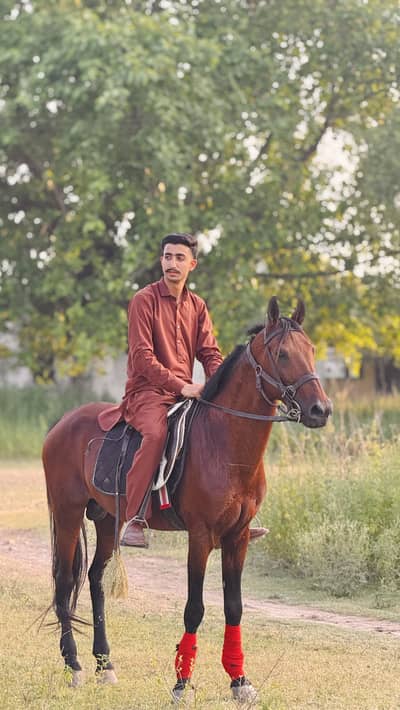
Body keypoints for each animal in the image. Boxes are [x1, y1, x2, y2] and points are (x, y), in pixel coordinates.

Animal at [42, 296, 332, 702]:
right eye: (283, 354)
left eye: (312, 350)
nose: (321, 410)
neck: (225, 445)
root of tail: (62, 424)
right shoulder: (200, 536)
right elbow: (194, 608)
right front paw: (181, 683)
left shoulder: (238, 536)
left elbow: (234, 607)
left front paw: (239, 681)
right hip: (68, 513)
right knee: (66, 580)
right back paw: (74, 665)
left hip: (107, 519)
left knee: (96, 577)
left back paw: (105, 665)